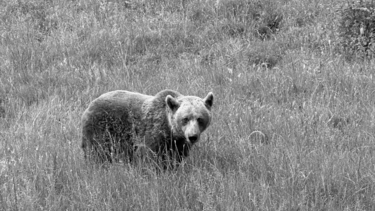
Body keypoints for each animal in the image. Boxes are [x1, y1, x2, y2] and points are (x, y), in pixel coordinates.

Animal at [80, 89, 213, 168]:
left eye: (200, 119)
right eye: (185, 118)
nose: (192, 136)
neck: (171, 130)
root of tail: (89, 105)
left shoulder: (179, 142)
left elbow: (177, 157)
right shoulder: (153, 132)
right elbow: (154, 156)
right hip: (102, 127)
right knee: (97, 151)